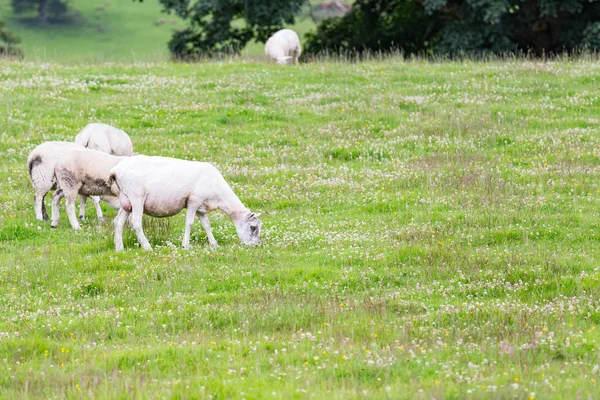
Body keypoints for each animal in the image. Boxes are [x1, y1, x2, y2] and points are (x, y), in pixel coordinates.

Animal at [108, 155, 262, 252]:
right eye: (253, 227)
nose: (255, 245)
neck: (218, 195)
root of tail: (116, 170)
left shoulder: (201, 206)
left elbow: (207, 225)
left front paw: (214, 245)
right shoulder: (193, 200)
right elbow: (189, 223)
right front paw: (185, 246)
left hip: (126, 200)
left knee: (118, 222)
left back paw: (119, 248)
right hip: (136, 197)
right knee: (135, 223)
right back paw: (147, 247)